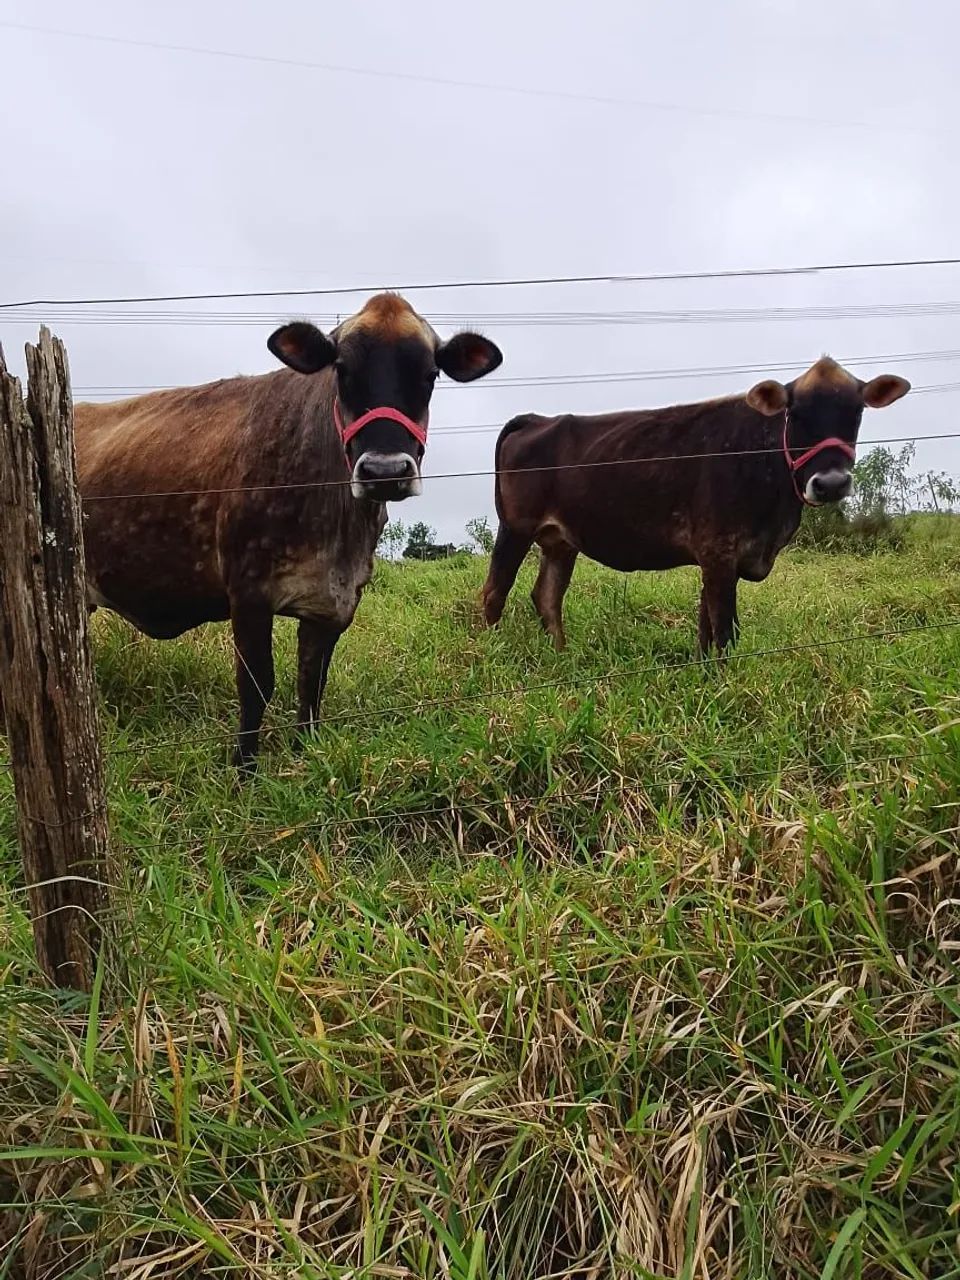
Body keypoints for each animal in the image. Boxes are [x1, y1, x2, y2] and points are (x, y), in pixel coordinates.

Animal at [75, 293, 502, 767]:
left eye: (429, 375)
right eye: (342, 370)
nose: (384, 471)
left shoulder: (335, 602)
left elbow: (311, 685)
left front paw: (308, 752)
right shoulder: (248, 593)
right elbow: (256, 688)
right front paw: (245, 770)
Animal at [481, 356, 910, 653]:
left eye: (856, 412)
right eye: (795, 412)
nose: (832, 483)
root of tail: (538, 419)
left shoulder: (720, 556)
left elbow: (706, 629)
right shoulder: (719, 550)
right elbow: (724, 630)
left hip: (560, 540)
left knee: (546, 596)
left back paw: (562, 655)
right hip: (516, 526)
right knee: (494, 591)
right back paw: (491, 653)